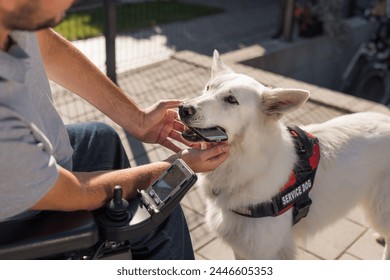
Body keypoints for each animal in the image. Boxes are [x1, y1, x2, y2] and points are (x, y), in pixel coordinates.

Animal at [179, 50, 390, 260]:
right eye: (208, 88)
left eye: (231, 100)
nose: (183, 108)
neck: (247, 162)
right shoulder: (241, 248)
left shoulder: (263, 251)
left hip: (380, 209)